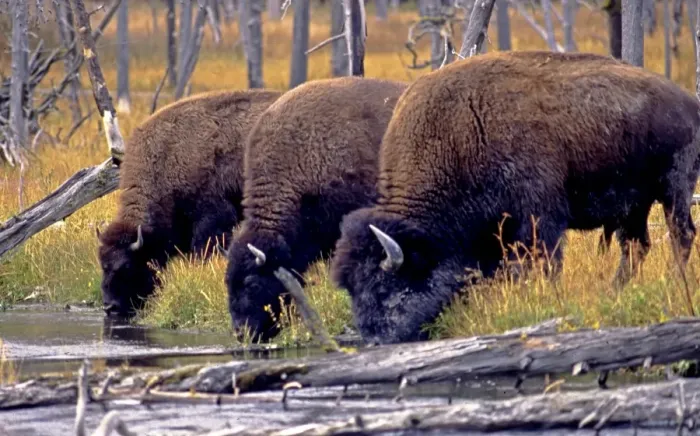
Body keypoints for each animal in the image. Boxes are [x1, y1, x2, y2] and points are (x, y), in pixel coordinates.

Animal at [330, 51, 700, 344]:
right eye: (351, 289)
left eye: (383, 287)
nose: (374, 339)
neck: (457, 139)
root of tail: (689, 103)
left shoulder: (540, 219)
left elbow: (543, 265)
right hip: (633, 206)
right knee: (636, 246)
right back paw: (614, 292)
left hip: (674, 187)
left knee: (681, 234)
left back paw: (673, 283)